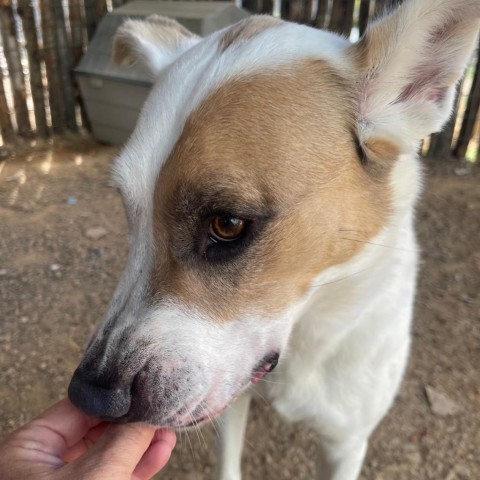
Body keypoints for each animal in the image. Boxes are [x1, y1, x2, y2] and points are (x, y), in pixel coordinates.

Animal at [67, 1, 480, 478]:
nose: (90, 396)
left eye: (227, 224)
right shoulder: (231, 399)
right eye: (128, 206)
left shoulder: (345, 442)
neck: (302, 334)